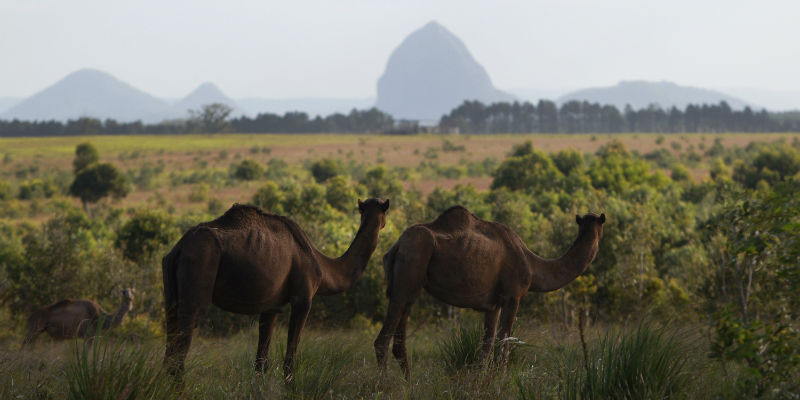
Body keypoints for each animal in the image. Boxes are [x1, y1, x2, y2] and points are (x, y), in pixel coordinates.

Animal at [162, 198, 390, 382]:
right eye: (385, 210)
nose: (384, 223)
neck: (322, 267)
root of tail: (179, 248)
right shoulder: (303, 298)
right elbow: (290, 359)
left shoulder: (271, 306)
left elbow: (261, 362)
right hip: (198, 272)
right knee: (180, 352)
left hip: (171, 295)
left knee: (169, 351)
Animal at [378, 208, 604, 380]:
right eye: (601, 224)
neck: (533, 267)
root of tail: (397, 246)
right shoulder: (513, 296)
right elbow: (503, 343)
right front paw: (501, 380)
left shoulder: (493, 305)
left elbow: (486, 346)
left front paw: (479, 380)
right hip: (411, 266)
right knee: (383, 338)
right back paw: (384, 384)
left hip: (409, 285)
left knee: (399, 337)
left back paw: (408, 382)